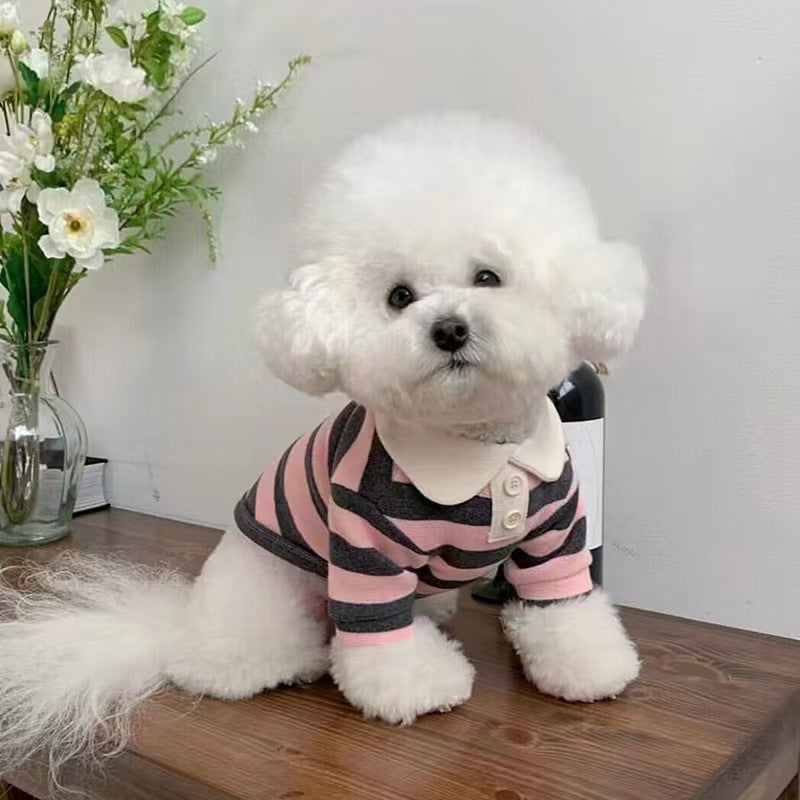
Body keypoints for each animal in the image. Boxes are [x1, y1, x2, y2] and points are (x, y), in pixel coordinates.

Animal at [0, 114, 644, 780]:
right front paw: (416, 684)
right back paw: (298, 659)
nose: (449, 330)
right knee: (234, 662)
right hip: (268, 598)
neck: (474, 450)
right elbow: (381, 637)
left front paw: (588, 664)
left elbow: (562, 606)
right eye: (399, 296)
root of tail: (181, 628)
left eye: (488, 277)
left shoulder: (556, 533)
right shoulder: (364, 541)